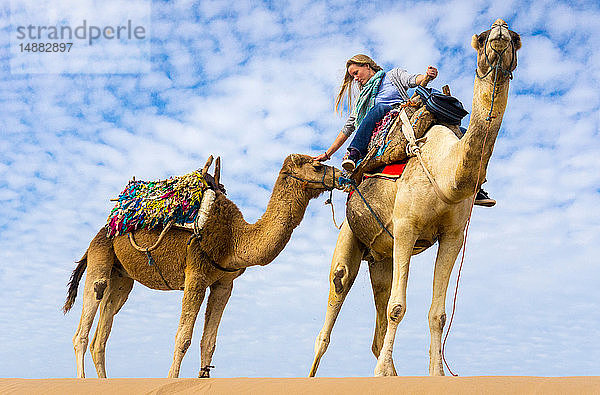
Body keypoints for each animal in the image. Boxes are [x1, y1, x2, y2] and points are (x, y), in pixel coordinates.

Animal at [63, 153, 342, 378]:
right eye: (317, 165)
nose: (342, 175)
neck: (234, 238)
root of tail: (100, 234)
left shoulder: (224, 283)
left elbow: (209, 342)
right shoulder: (195, 273)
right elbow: (183, 337)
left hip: (122, 277)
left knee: (101, 336)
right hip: (101, 257)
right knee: (83, 329)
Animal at [310, 19, 520, 378]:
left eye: (517, 40)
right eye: (481, 39)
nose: (500, 32)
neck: (445, 173)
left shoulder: (452, 236)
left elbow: (438, 313)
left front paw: (435, 374)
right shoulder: (406, 226)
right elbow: (397, 308)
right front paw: (381, 374)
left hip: (380, 258)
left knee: (378, 323)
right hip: (350, 236)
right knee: (333, 302)